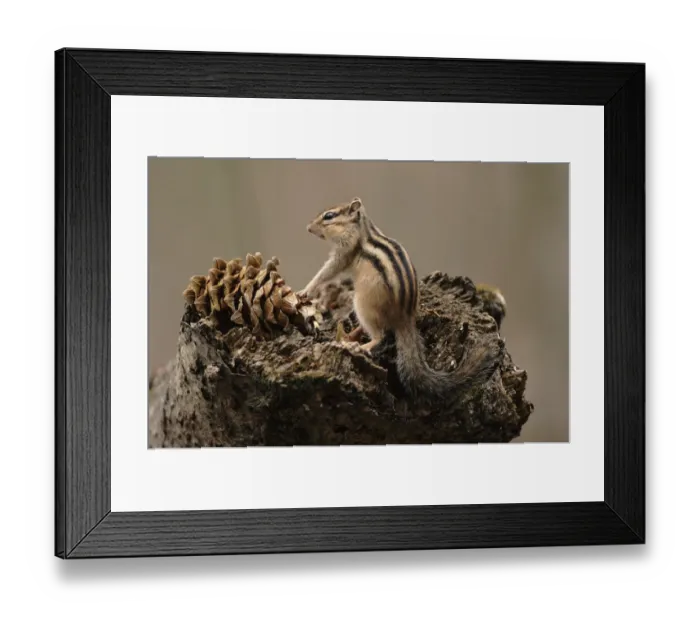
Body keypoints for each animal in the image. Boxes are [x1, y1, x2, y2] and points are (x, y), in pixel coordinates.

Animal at [298, 196, 503, 401]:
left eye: (329, 216)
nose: (308, 228)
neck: (362, 229)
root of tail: (405, 317)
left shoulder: (345, 251)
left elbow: (328, 271)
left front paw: (305, 290)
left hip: (362, 305)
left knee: (380, 336)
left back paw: (361, 346)